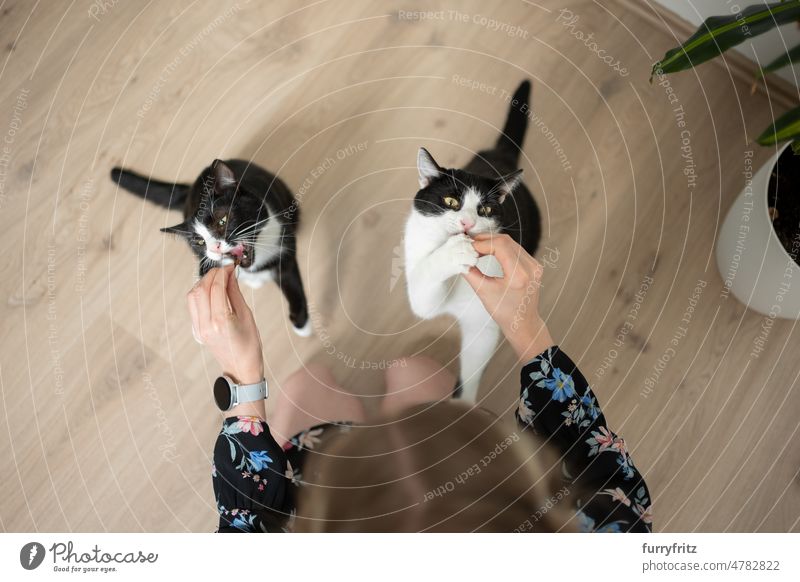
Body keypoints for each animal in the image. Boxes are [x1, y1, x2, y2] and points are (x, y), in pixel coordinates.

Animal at [111, 159, 310, 338]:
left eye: (222, 220)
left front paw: (302, 324)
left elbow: (292, 280)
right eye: (199, 242)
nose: (215, 246)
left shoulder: (282, 240)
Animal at [404, 80, 540, 404]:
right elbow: (424, 289)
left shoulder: (484, 322)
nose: (467, 223)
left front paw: (462, 408)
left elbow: (474, 363)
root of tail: (499, 156)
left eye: (485, 210)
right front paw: (453, 253)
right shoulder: (418, 264)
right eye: (451, 201)